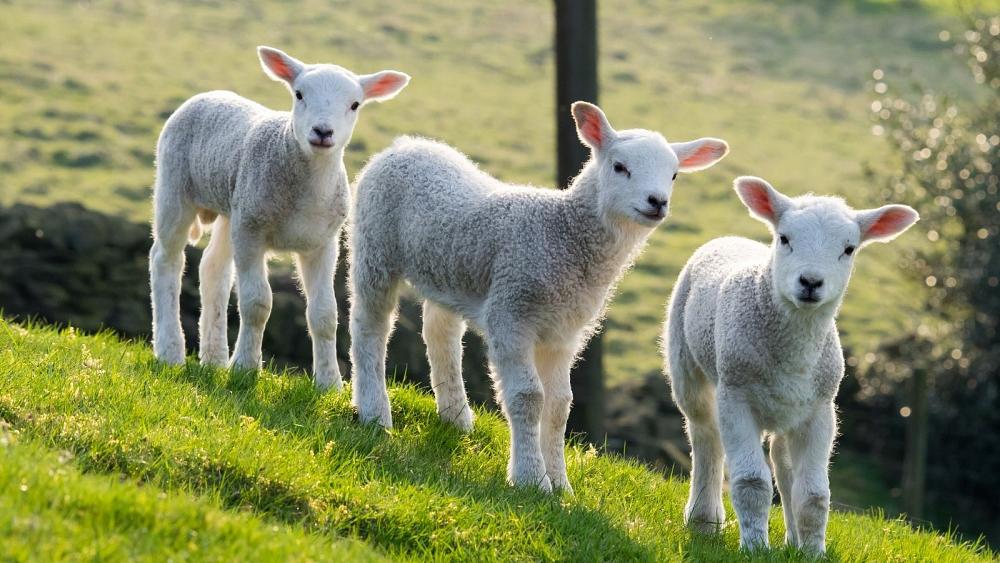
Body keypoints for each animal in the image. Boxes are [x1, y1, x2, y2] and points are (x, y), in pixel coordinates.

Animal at [150, 46, 409, 390]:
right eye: (299, 94)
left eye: (354, 104)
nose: (322, 132)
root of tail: (207, 95)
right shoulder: (252, 230)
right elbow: (257, 303)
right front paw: (245, 368)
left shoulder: (322, 243)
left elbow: (325, 314)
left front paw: (329, 383)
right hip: (176, 186)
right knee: (166, 259)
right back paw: (170, 349)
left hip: (234, 208)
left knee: (213, 269)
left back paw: (214, 358)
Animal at [348, 102, 729, 492]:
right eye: (619, 167)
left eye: (674, 175)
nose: (657, 202)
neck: (563, 234)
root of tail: (404, 145)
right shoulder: (511, 312)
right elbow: (529, 397)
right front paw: (531, 479)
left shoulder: (563, 333)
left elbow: (560, 406)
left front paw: (560, 484)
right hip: (374, 244)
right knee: (369, 325)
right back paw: (373, 410)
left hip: (446, 269)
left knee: (441, 333)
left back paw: (455, 416)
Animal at [663, 176, 919, 552]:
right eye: (784, 238)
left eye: (849, 249)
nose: (810, 282)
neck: (793, 351)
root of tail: (731, 239)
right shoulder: (736, 396)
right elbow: (752, 482)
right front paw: (755, 548)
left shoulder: (820, 411)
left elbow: (813, 495)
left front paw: (812, 552)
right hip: (687, 364)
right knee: (705, 435)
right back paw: (704, 519)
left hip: (788, 407)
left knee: (782, 461)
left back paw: (793, 538)